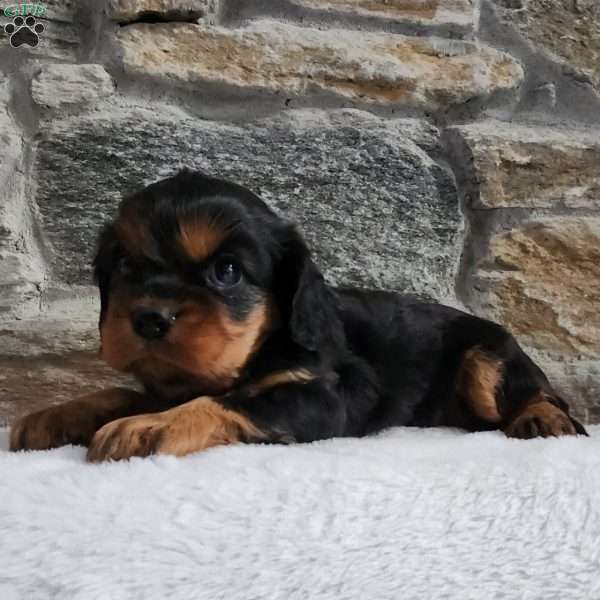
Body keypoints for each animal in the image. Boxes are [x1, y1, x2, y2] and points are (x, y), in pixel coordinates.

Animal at [9, 171, 584, 462]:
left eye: (227, 271)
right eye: (125, 264)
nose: (149, 318)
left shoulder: (327, 396)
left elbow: (230, 400)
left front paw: (149, 426)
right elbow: (119, 392)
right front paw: (57, 414)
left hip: (489, 358)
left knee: (544, 395)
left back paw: (543, 419)